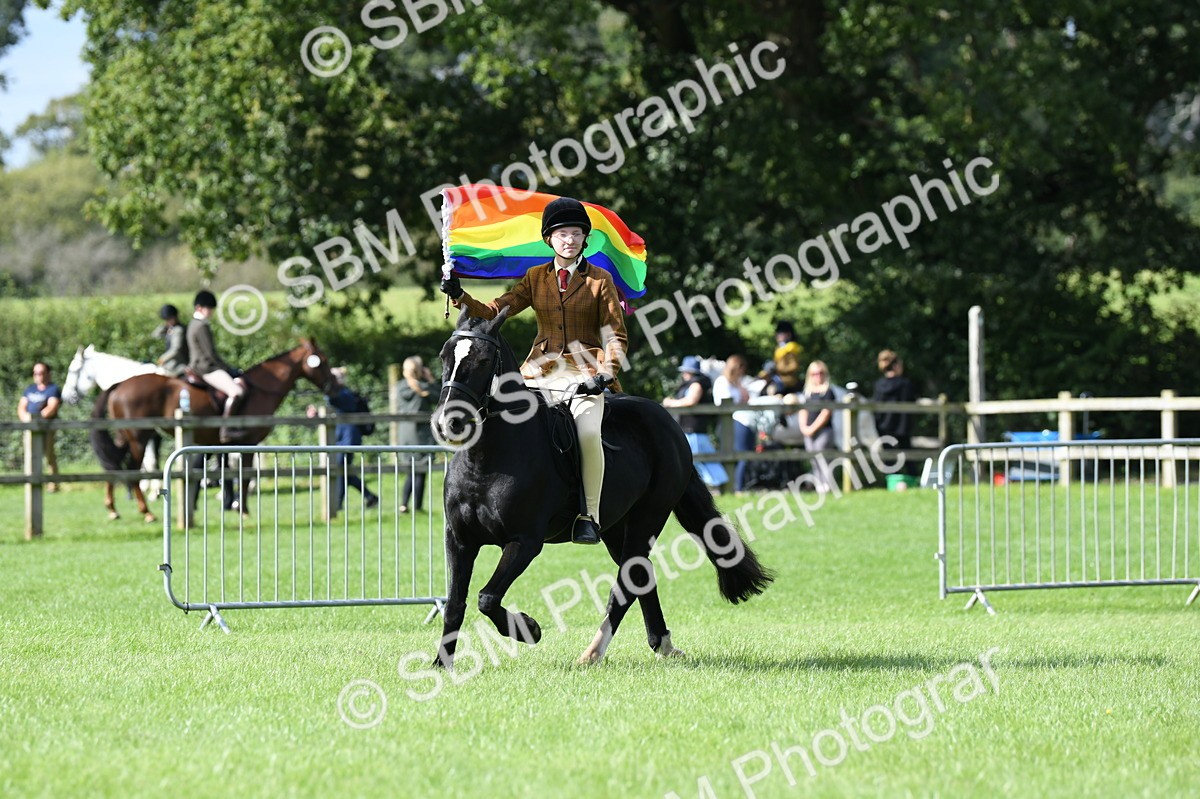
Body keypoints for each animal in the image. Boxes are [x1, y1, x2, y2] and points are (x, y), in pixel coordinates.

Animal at [91, 339, 337, 524]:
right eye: (323, 361)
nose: (334, 385)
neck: (261, 390)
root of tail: (120, 384)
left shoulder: (226, 446)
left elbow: (228, 474)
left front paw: (233, 505)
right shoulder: (248, 444)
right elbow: (245, 476)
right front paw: (243, 510)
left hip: (124, 436)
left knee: (113, 464)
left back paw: (113, 509)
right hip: (139, 436)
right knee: (131, 469)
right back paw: (147, 512)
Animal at [431, 307, 774, 668]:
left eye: (483, 360)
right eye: (443, 356)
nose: (447, 422)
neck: (488, 458)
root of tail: (669, 424)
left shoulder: (524, 542)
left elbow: (487, 597)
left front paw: (529, 629)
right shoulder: (459, 540)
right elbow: (455, 604)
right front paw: (441, 666)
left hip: (648, 517)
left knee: (627, 581)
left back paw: (594, 652)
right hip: (614, 528)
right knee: (640, 574)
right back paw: (662, 643)